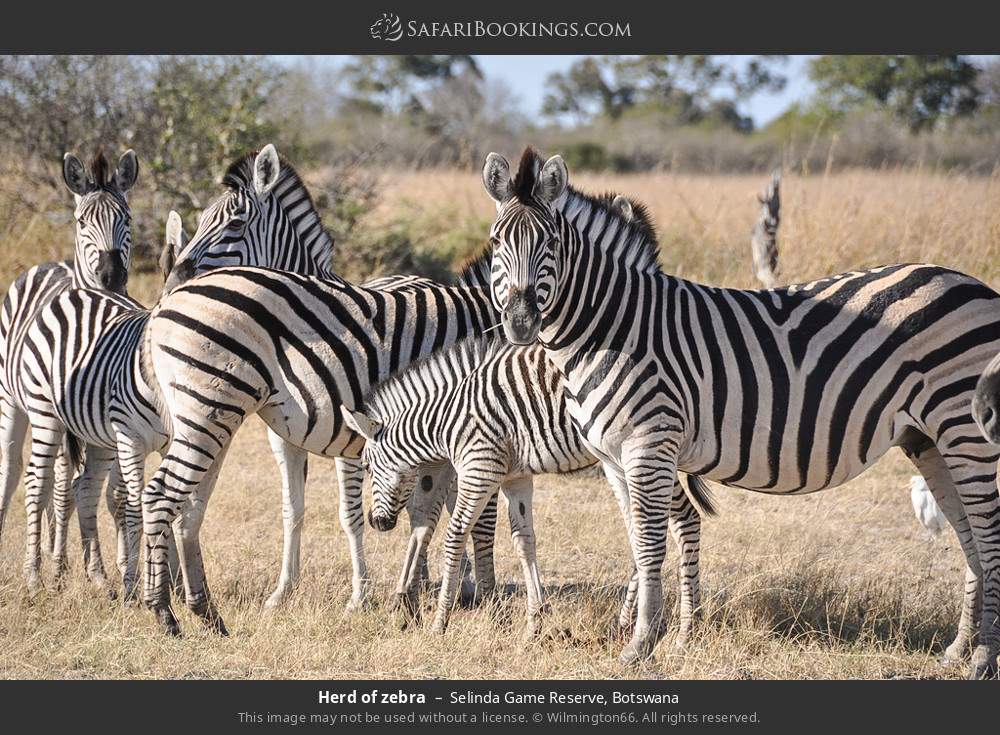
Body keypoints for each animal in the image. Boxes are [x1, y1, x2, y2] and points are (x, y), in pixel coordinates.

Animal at [0, 149, 138, 590]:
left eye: (127, 218)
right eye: (81, 222)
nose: (112, 275)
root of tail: (50, 263)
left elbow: (102, 492)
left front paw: (102, 567)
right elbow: (58, 488)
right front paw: (56, 567)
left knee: (65, 484)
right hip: (14, 404)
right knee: (19, 475)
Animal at [343, 335, 716, 640]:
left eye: (367, 466)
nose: (378, 522)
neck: (449, 416)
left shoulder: (480, 469)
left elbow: (454, 533)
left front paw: (441, 619)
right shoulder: (514, 476)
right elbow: (524, 540)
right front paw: (535, 620)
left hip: (645, 454)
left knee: (681, 518)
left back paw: (680, 624)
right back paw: (636, 621)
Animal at [481, 147, 1000, 679]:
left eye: (550, 243)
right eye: (497, 241)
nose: (520, 323)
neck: (613, 326)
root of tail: (976, 285)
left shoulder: (649, 444)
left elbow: (649, 544)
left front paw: (641, 644)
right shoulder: (611, 458)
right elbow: (634, 540)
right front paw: (646, 634)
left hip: (964, 427)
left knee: (988, 533)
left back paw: (983, 657)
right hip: (928, 438)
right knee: (968, 535)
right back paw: (959, 650)